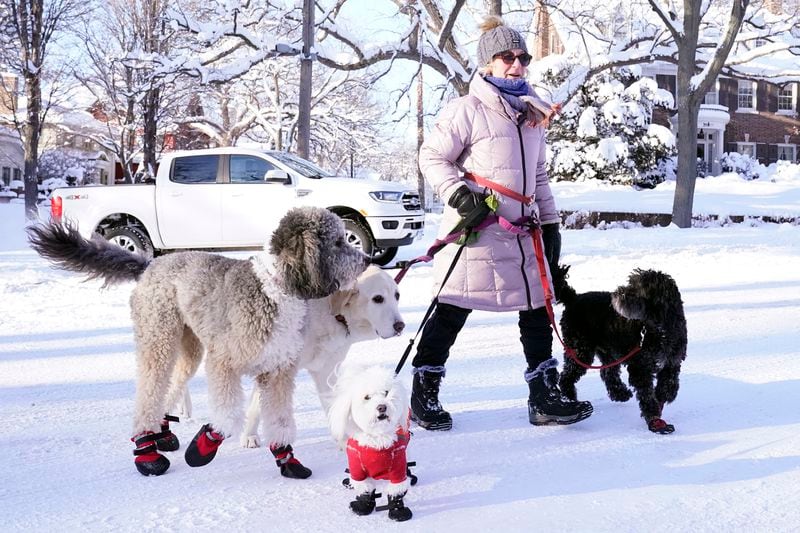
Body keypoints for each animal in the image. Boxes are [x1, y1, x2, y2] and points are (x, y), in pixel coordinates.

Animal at [324, 364, 412, 520]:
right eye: (367, 397)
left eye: (386, 392)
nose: (382, 407)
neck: (377, 439)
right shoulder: (357, 467)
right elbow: (365, 489)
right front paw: (363, 506)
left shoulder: (398, 465)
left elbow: (396, 490)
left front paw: (398, 510)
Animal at [552, 264, 688, 434]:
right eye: (631, 282)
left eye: (638, 288)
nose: (617, 293)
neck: (659, 328)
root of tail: (573, 298)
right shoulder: (640, 367)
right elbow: (646, 395)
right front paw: (654, 416)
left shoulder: (672, 361)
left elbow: (670, 381)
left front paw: (665, 394)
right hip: (579, 350)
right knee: (566, 376)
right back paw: (571, 398)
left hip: (607, 351)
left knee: (607, 373)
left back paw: (620, 393)